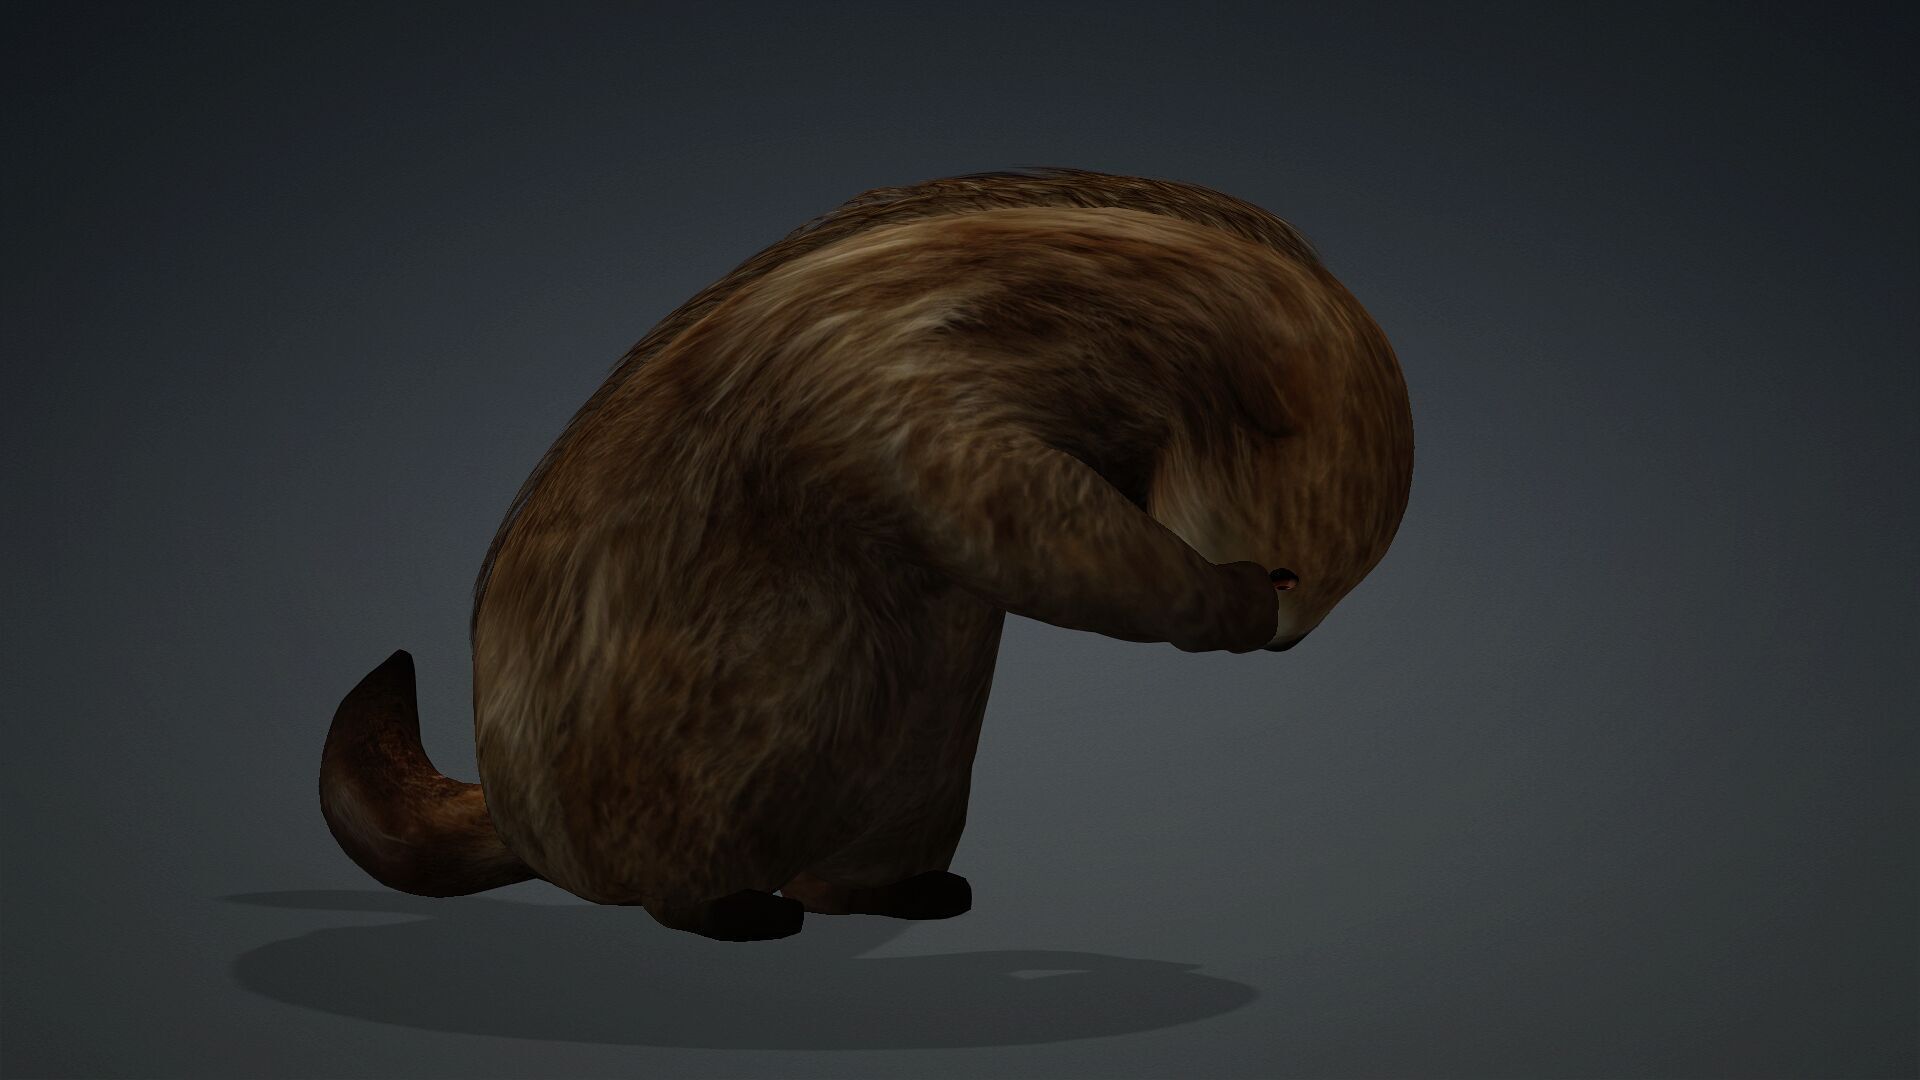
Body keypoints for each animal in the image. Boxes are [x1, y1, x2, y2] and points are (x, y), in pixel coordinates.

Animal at [319, 167, 1415, 941]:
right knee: (673, 884)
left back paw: (923, 891)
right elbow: (1023, 515)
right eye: (1289, 568)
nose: (1284, 632)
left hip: (920, 777)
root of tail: (514, 816)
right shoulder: (908, 378)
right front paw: (1223, 598)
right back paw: (741, 912)